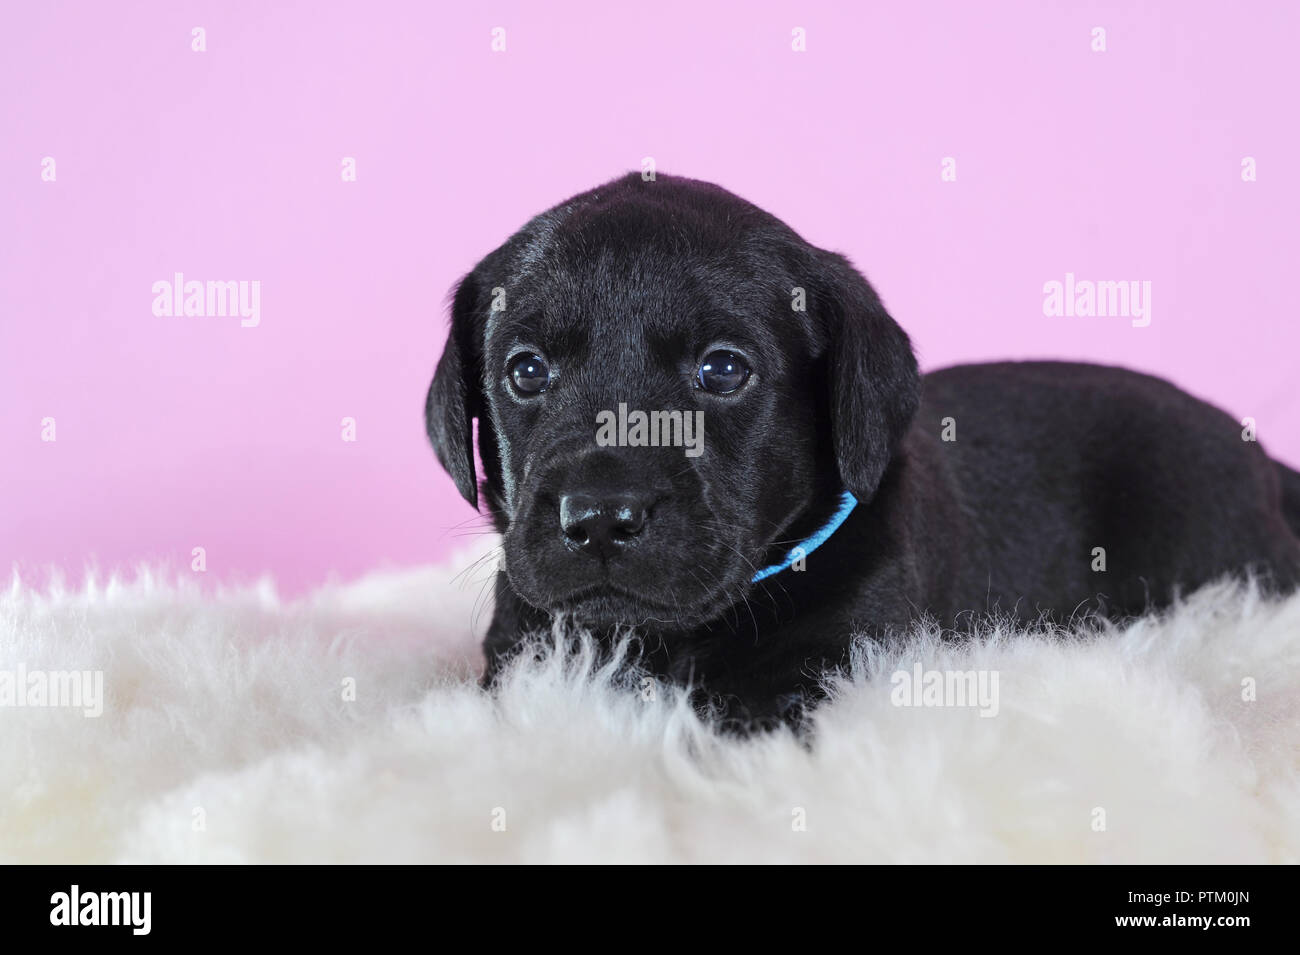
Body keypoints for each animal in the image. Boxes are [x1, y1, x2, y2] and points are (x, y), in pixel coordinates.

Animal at [426, 174, 1300, 722]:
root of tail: (1259, 456)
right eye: (525, 370)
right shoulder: (522, 653)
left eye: (724, 369)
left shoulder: (832, 663)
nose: (602, 516)